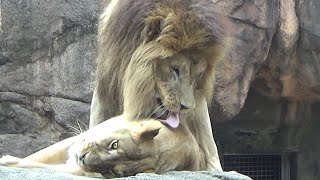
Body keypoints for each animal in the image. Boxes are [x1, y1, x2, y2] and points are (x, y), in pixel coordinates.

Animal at [0, 116, 205, 178]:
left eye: (112, 172)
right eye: (114, 145)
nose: (83, 158)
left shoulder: (81, 169)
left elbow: (39, 165)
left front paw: (7, 161)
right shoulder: (73, 141)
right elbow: (38, 157)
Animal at [90, 0, 228, 171]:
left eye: (198, 75)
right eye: (175, 69)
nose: (186, 107)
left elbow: (206, 134)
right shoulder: (107, 82)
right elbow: (98, 120)